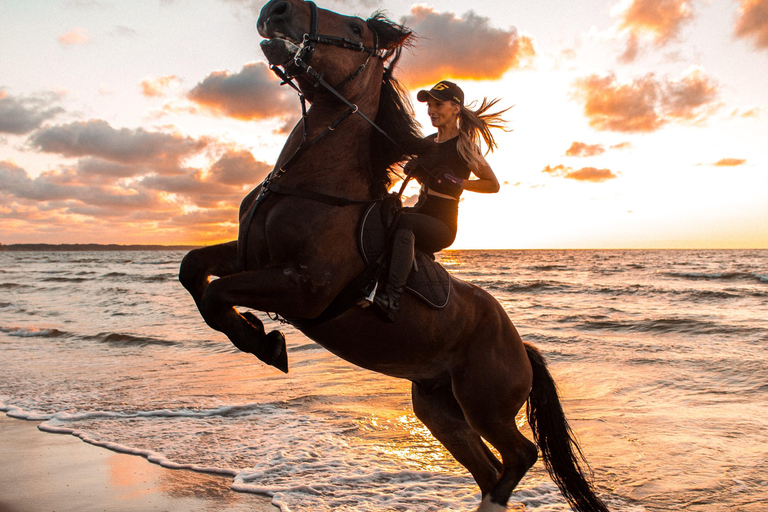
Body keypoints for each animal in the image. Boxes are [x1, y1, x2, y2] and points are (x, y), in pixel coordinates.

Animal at [177, 2, 608, 510]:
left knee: (520, 454)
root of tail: (521, 347)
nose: (276, 10)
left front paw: (265, 342)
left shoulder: (304, 288)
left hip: (484, 405)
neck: (311, 182)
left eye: (355, 27)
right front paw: (257, 334)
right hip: (438, 408)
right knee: (489, 467)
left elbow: (216, 294)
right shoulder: (252, 258)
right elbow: (193, 271)